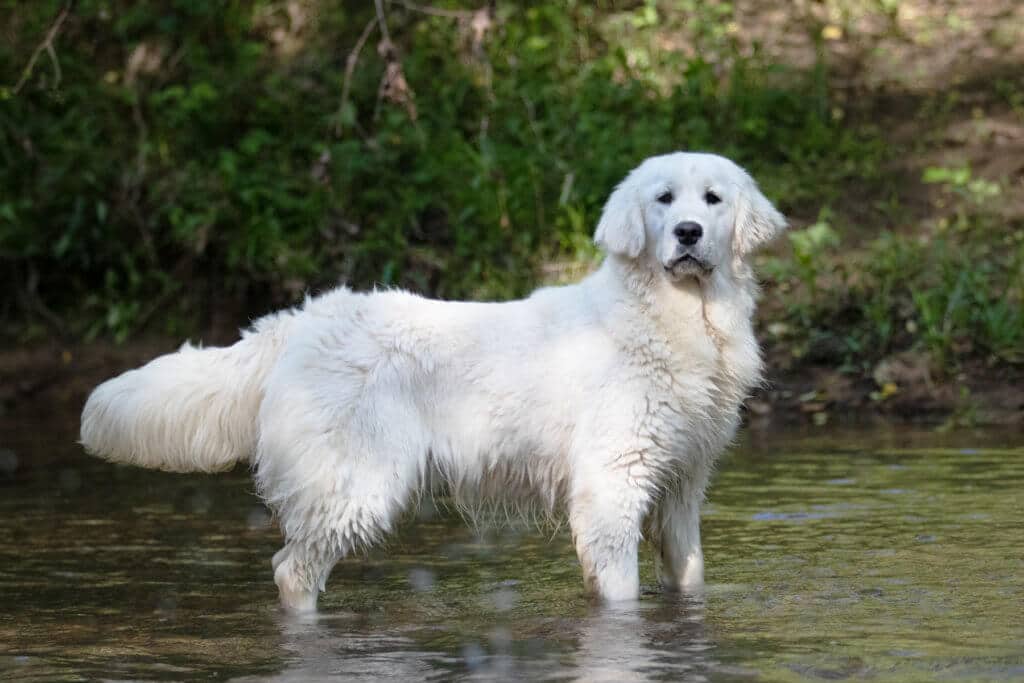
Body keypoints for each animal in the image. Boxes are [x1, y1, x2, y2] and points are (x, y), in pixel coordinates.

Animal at [81, 152, 782, 610]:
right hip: (357, 485)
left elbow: (688, 576)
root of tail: (301, 321)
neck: (676, 319)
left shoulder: (681, 485)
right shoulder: (613, 484)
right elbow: (619, 593)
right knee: (291, 573)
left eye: (712, 199)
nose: (688, 233)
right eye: (664, 199)